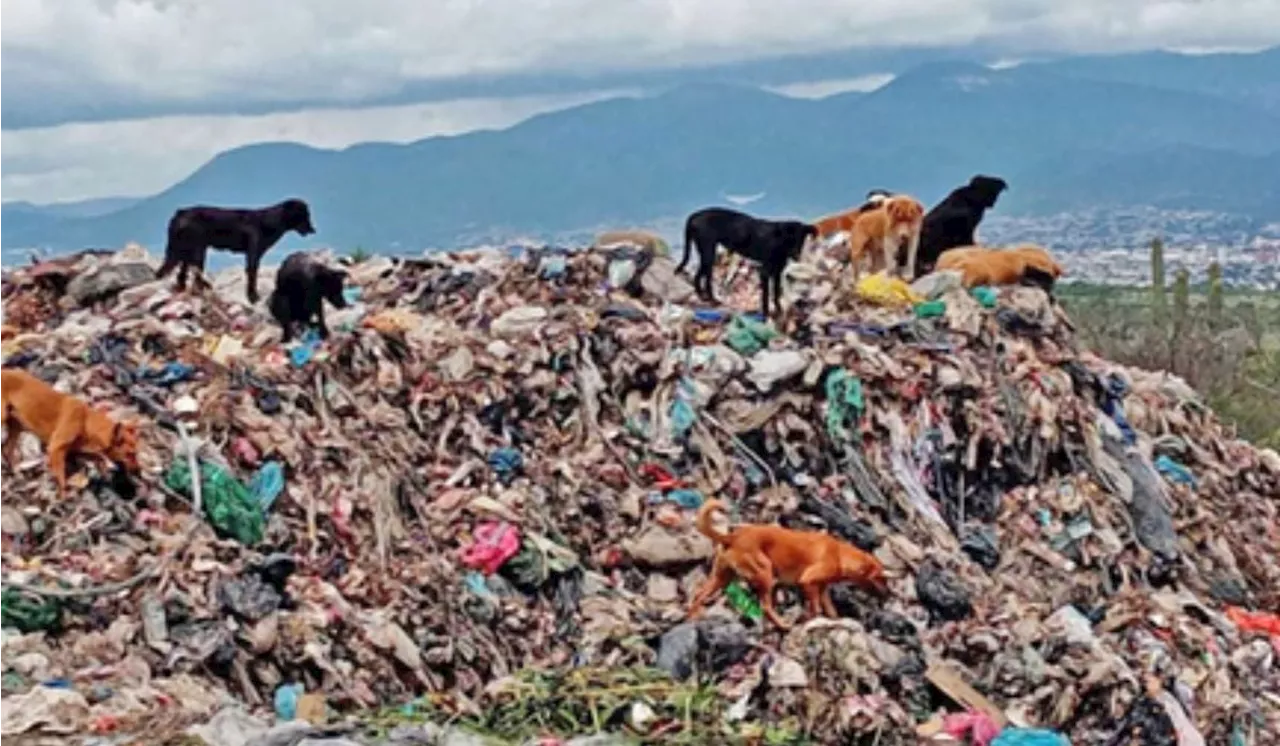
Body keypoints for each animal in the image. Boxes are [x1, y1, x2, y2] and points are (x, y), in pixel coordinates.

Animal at [0, 368, 140, 496]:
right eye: (130, 454)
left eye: (135, 454)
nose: (138, 471)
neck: (86, 422)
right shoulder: (56, 448)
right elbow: (61, 477)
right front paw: (63, 496)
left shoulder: (76, 450)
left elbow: (97, 457)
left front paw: (103, 469)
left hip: (16, 425)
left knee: (6, 449)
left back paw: (15, 473)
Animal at [156, 198, 316, 307]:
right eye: (304, 215)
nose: (313, 230)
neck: (269, 221)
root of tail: (180, 213)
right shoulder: (253, 255)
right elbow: (252, 278)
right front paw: (253, 298)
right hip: (197, 251)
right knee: (193, 276)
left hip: (184, 252)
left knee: (180, 275)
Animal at [675, 206, 814, 319]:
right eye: (789, 239)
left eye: (801, 238)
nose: (796, 256)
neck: (779, 242)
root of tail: (694, 215)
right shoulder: (764, 272)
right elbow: (766, 295)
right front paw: (766, 314)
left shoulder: (777, 272)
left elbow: (776, 293)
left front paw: (778, 311)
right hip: (708, 252)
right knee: (704, 277)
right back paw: (712, 300)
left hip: (706, 254)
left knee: (699, 276)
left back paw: (704, 298)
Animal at [691, 501, 890, 629]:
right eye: (881, 578)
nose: (889, 595)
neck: (840, 554)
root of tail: (732, 537)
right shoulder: (808, 581)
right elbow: (815, 608)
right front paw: (807, 621)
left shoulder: (823, 589)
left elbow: (830, 611)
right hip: (765, 573)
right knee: (765, 606)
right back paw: (782, 625)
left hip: (722, 577)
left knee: (698, 594)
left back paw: (694, 616)